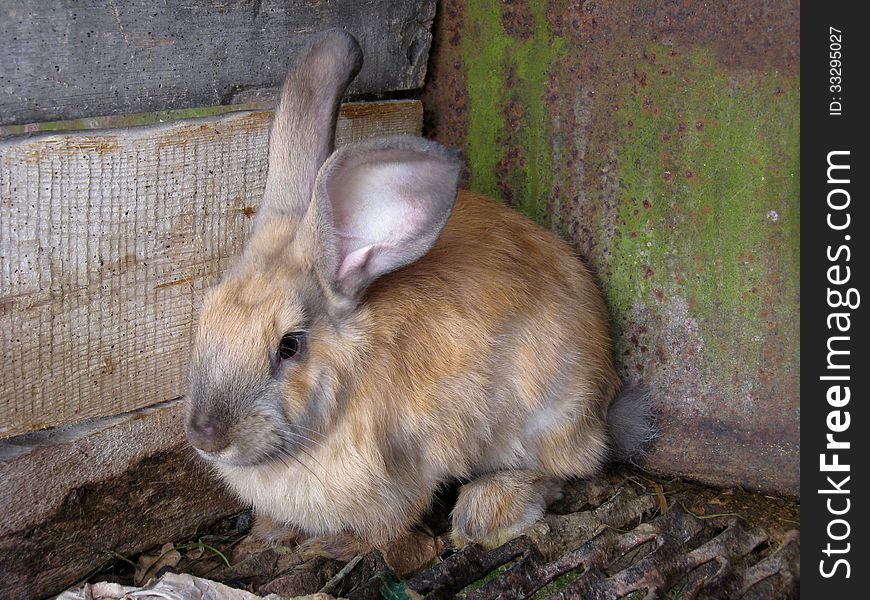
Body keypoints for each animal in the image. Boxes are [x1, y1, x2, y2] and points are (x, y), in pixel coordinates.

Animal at [186, 30, 656, 556]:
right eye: (205, 318)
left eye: (289, 346)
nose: (207, 436)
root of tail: (606, 397)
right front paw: (271, 531)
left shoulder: (408, 468)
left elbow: (391, 522)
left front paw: (333, 547)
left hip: (550, 414)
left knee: (564, 469)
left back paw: (489, 508)